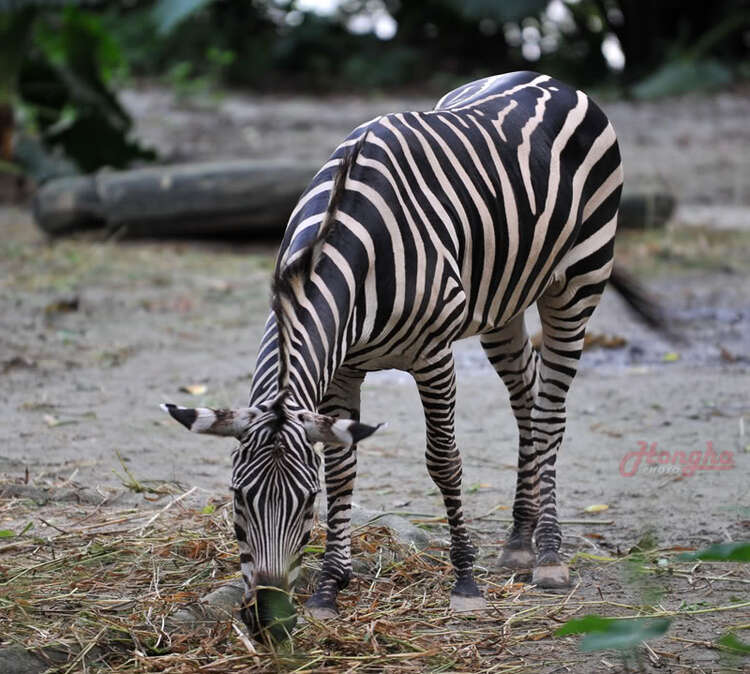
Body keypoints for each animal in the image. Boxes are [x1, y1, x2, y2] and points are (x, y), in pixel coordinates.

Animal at [162, 71, 660, 636]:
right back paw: (519, 540)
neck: (348, 242)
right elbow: (342, 467)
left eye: (305, 504)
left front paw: (465, 583)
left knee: (551, 411)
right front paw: (329, 587)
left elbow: (444, 461)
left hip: (578, 282)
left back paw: (550, 555)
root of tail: (546, 78)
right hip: (503, 302)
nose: (268, 620)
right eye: (238, 497)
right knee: (527, 397)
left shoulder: (433, 355)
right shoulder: (342, 368)